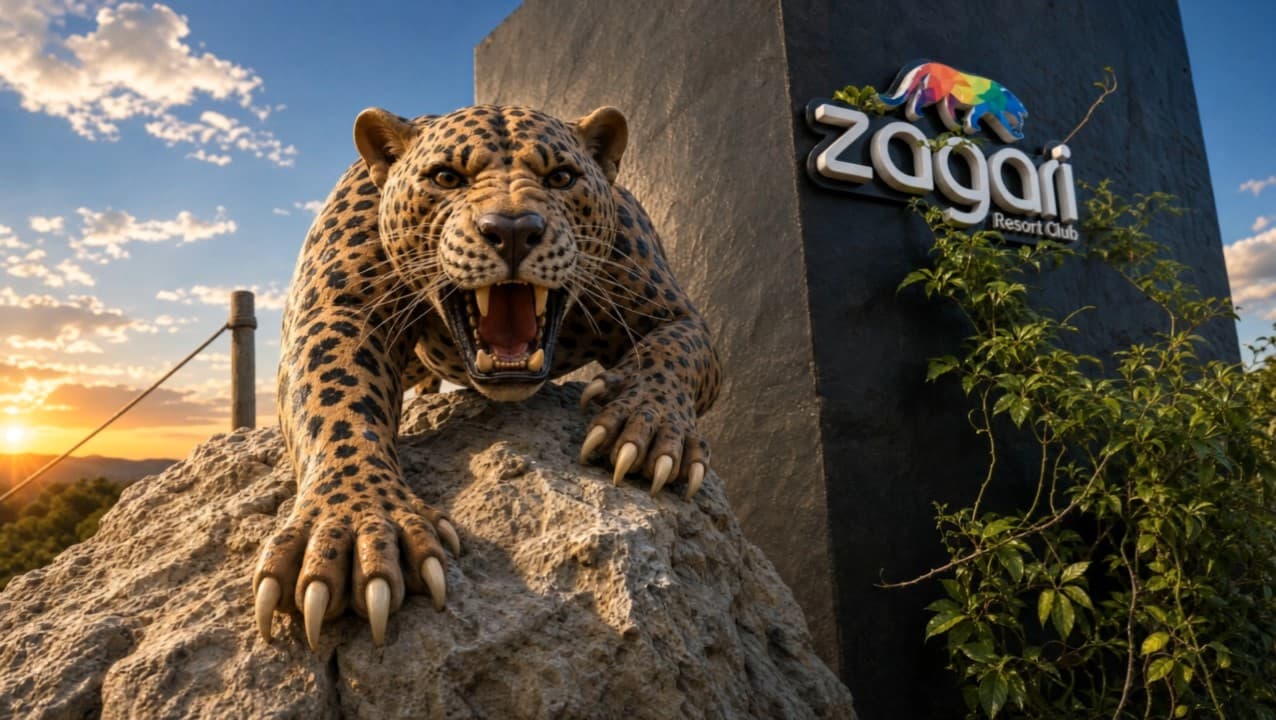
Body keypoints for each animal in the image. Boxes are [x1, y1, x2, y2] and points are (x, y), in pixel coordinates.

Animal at [252, 104, 722, 650]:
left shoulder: (676, 313)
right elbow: (338, 401)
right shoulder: (337, 310)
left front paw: (646, 429)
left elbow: (673, 354)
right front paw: (353, 527)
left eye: (561, 177)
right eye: (445, 178)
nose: (514, 229)